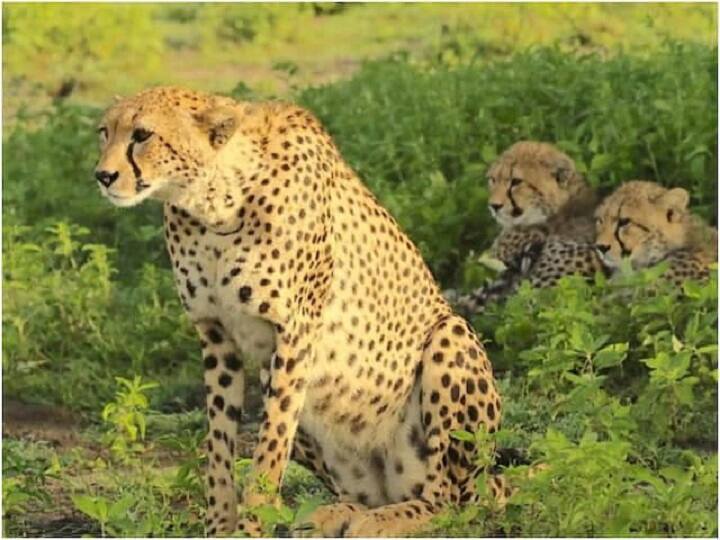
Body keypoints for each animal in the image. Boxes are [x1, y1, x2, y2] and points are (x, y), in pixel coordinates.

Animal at [94, 87, 506, 536]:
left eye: (142, 135)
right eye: (104, 132)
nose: (103, 176)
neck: (215, 204)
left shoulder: (295, 332)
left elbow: (269, 448)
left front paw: (252, 527)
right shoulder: (216, 334)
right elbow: (218, 444)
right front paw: (220, 525)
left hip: (451, 338)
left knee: (453, 500)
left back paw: (387, 519)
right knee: (368, 493)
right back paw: (337, 514)